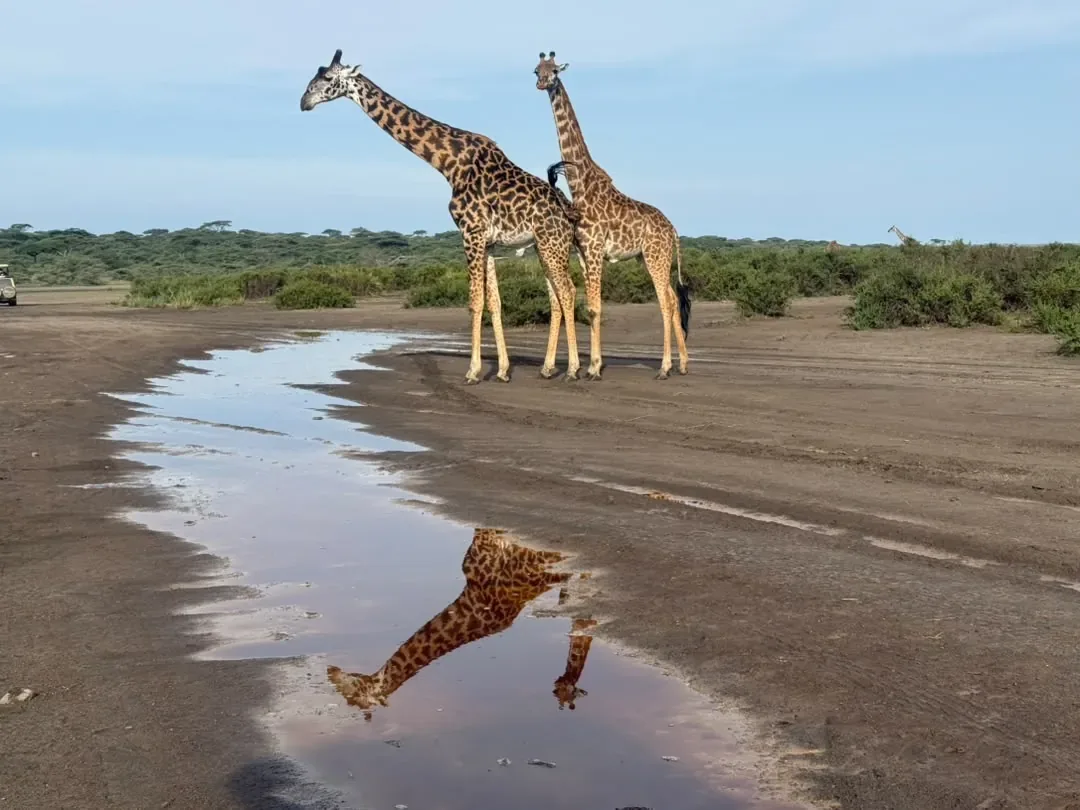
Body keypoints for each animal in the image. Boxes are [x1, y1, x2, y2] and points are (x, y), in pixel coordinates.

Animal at [301, 48, 583, 384]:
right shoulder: (487, 242)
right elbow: (494, 302)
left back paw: (574, 369)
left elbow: (474, 301)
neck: (449, 163)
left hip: (553, 244)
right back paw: (549, 366)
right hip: (545, 246)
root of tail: (569, 210)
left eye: (328, 78)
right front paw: (502, 370)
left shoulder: (470, 232)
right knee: (557, 296)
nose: (304, 101)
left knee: (568, 291)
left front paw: (473, 371)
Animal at [533, 52, 690, 381]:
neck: (579, 186)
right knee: (672, 298)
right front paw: (592, 364)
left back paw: (665, 367)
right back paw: (683, 364)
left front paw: (591, 368)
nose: (542, 83)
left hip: (656, 257)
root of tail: (673, 230)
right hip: (650, 258)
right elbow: (591, 307)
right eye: (535, 70)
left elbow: (595, 308)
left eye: (555, 70)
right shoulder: (584, 252)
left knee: (666, 303)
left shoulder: (595, 250)